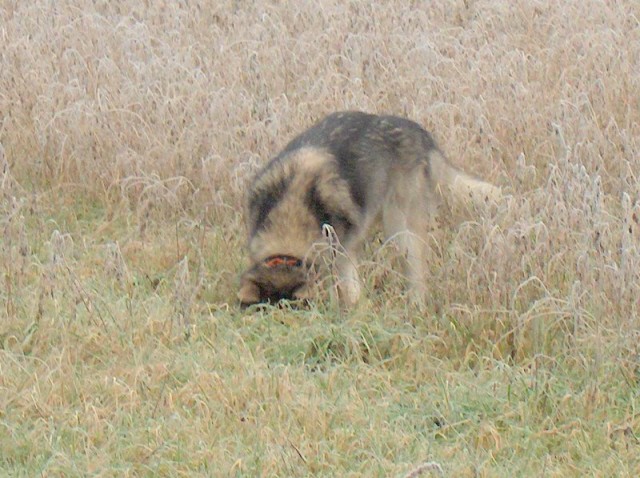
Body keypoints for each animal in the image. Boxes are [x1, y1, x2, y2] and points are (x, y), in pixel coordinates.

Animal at [238, 110, 502, 308]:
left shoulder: (343, 251)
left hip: (401, 231)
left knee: (418, 275)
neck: (291, 210)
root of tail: (417, 131)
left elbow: (349, 287)